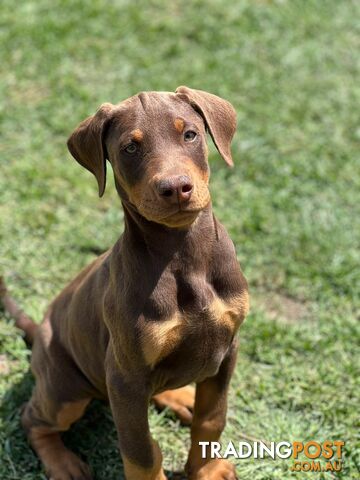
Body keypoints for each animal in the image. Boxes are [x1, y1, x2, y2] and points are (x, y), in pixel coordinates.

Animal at [0, 87, 248, 480]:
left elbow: (212, 418)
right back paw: (63, 464)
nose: (176, 188)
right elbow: (142, 450)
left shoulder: (227, 349)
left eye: (190, 134)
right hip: (67, 390)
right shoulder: (125, 375)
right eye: (130, 148)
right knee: (33, 418)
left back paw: (180, 398)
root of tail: (38, 333)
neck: (183, 253)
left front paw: (207, 470)